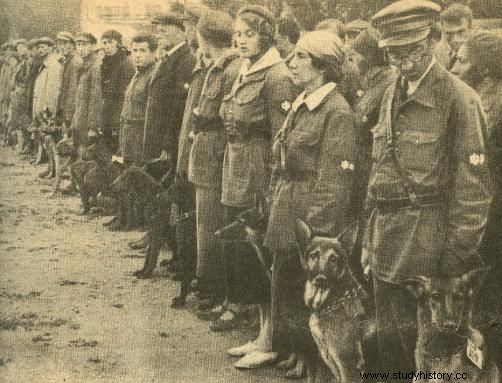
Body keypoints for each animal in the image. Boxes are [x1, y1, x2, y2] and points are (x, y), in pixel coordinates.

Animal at [294, 219, 376, 383]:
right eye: (314, 255)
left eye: (333, 258)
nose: (321, 279)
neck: (336, 302)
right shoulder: (329, 365)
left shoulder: (348, 369)